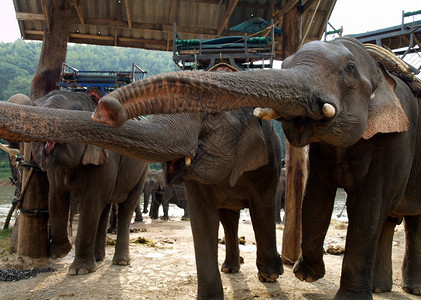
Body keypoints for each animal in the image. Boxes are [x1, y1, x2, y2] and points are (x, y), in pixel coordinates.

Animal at [9, 90, 149, 276]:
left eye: (75, 112)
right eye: (35, 106)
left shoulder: (106, 156)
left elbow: (91, 200)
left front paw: (80, 270)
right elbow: (56, 197)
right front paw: (60, 252)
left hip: (142, 171)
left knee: (126, 207)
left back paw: (121, 262)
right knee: (104, 208)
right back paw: (98, 257)